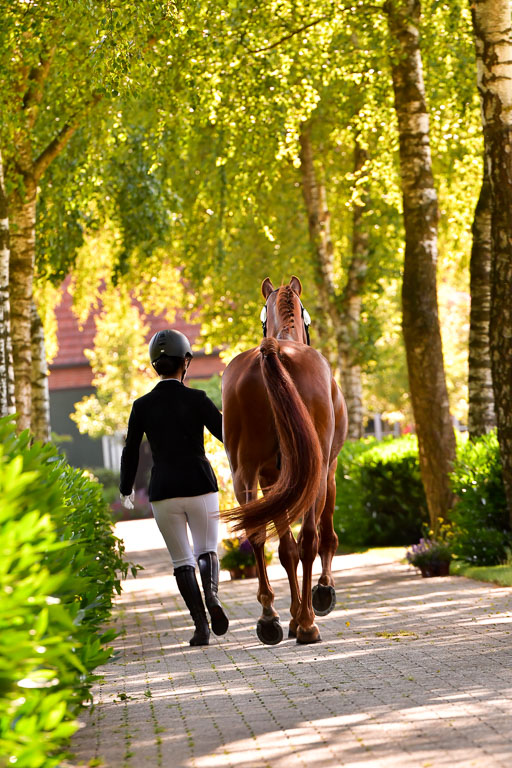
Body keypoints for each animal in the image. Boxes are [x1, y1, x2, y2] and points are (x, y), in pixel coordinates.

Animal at [222, 276, 348, 644]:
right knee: (310, 539)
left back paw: (269, 618)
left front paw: (290, 616)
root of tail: (273, 350)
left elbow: (285, 549)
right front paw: (319, 596)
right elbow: (322, 535)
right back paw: (308, 622)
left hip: (244, 473)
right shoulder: (328, 471)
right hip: (314, 474)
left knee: (257, 535)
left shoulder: (271, 479)